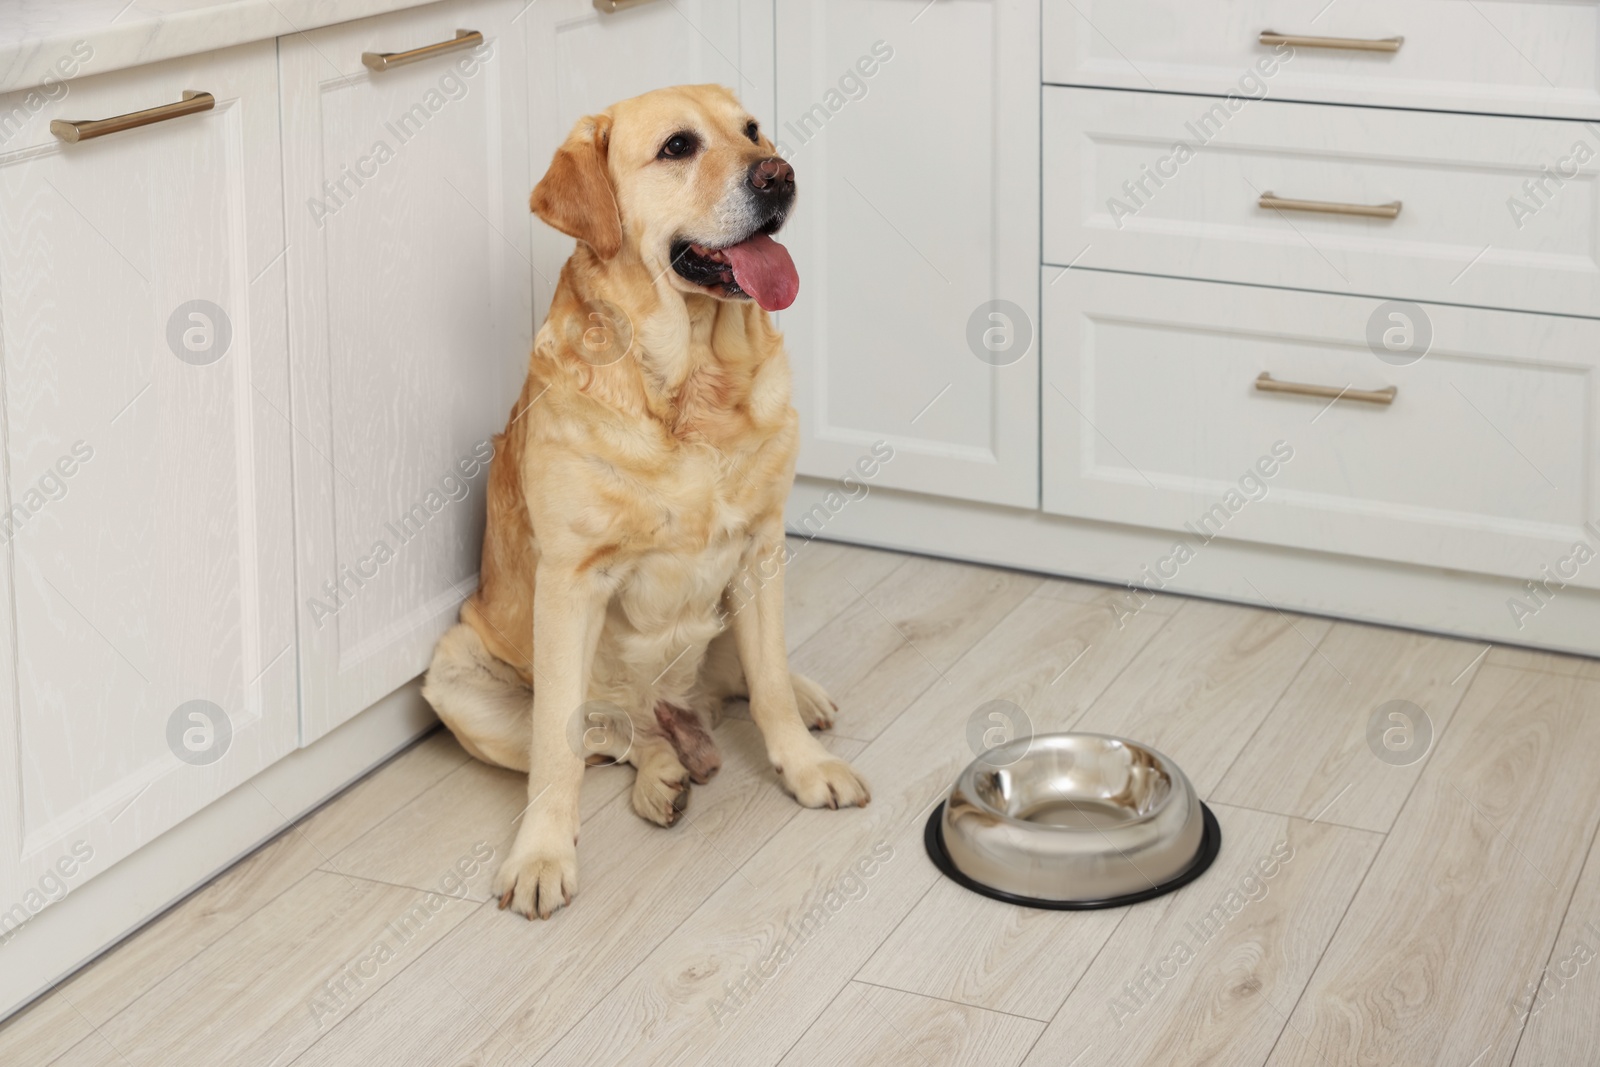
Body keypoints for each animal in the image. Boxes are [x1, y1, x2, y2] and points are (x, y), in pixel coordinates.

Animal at [419, 85, 870, 921]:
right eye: (677, 147)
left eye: (752, 131)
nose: (779, 174)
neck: (693, 382)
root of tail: (674, 708)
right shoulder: (572, 581)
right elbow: (559, 752)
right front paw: (542, 855)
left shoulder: (762, 545)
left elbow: (768, 688)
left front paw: (805, 765)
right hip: (457, 676)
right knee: (614, 739)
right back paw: (664, 775)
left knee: (749, 677)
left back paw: (797, 696)